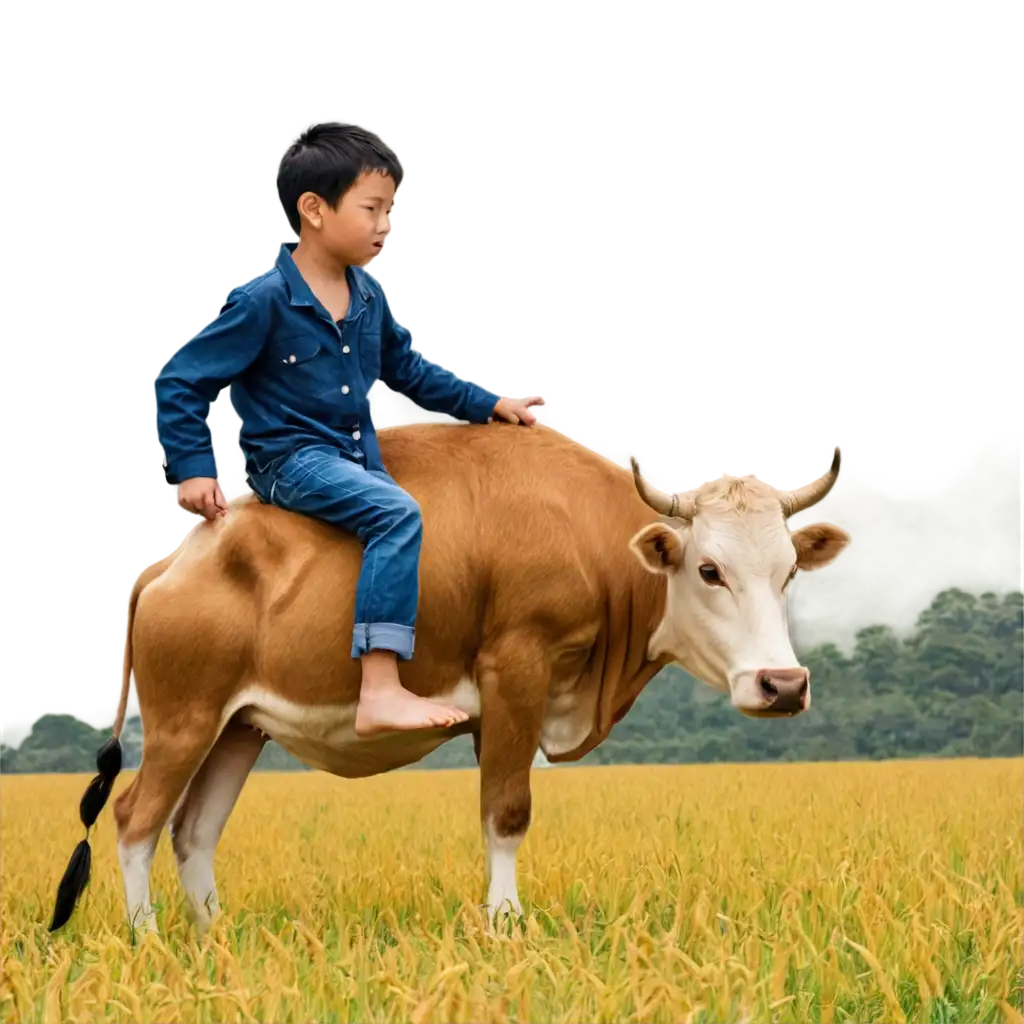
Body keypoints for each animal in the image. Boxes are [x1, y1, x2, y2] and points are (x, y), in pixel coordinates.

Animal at [46, 421, 847, 937]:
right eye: (709, 569)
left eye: (787, 572)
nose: (782, 684)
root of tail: (174, 560)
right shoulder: (515, 670)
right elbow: (508, 812)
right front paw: (506, 926)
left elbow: (498, 813)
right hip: (183, 721)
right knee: (136, 820)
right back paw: (149, 940)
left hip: (239, 728)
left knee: (193, 832)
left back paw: (215, 939)